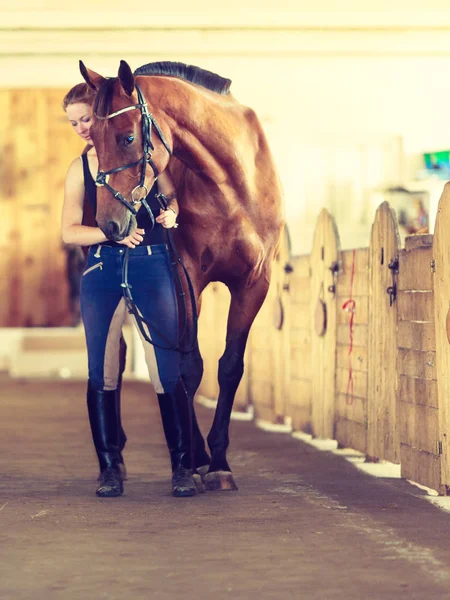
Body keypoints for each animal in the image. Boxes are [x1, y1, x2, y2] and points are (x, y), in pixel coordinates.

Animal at [80, 59, 284, 492]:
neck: (231, 185)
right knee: (114, 360)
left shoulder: (254, 283)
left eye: (126, 138)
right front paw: (194, 459)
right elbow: (188, 367)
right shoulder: (186, 277)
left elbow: (229, 367)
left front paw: (219, 462)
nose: (109, 224)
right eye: (94, 140)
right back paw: (117, 457)